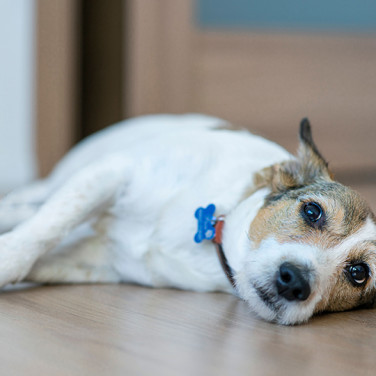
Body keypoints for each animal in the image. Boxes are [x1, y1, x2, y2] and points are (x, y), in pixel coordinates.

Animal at [0, 113, 376, 324]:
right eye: (312, 211)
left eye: (359, 273)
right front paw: (7, 257)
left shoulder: (94, 261)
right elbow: (46, 227)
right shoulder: (115, 172)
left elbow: (40, 257)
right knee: (27, 206)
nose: (294, 281)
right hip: (59, 181)